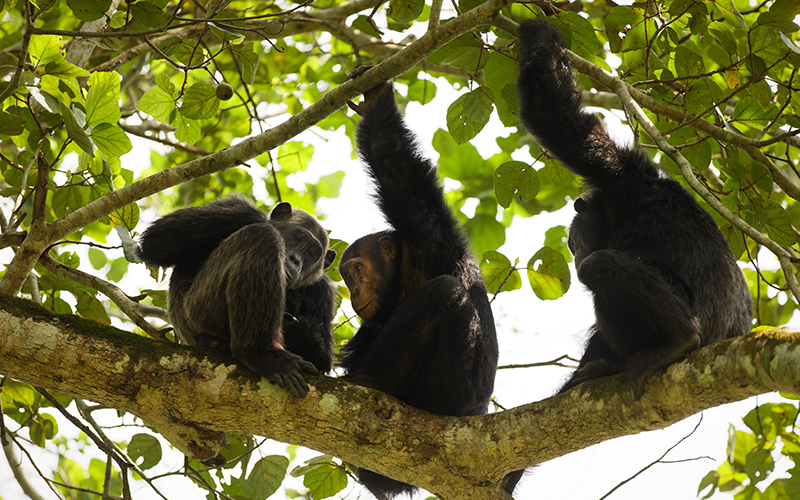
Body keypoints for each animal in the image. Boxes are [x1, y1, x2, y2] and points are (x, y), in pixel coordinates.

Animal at [138, 197, 337, 398]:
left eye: (311, 252)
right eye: (298, 236)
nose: (296, 260)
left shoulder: (322, 291)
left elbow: (322, 358)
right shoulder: (235, 209)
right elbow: (157, 239)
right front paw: (263, 221)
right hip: (200, 311)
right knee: (262, 236)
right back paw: (262, 354)